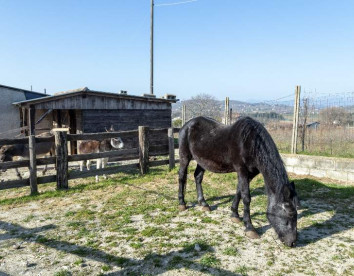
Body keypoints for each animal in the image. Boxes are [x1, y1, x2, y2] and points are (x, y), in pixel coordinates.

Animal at [180, 115, 298, 247]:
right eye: (290, 214)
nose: (292, 242)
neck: (251, 143)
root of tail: (188, 124)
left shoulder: (249, 174)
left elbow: (239, 191)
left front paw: (235, 215)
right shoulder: (242, 170)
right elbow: (246, 197)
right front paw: (250, 228)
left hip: (202, 161)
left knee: (198, 177)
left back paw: (203, 203)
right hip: (184, 157)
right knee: (182, 177)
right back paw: (182, 203)